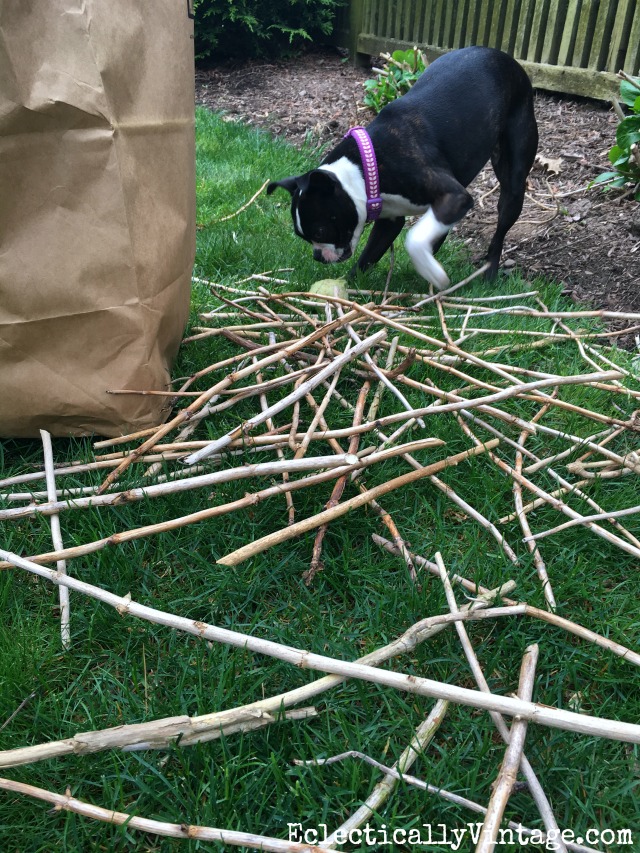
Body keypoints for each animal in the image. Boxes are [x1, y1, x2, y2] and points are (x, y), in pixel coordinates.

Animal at [268, 46, 536, 290]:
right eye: (302, 236)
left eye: (321, 232)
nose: (317, 256)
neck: (367, 167)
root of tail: (507, 59)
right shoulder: (390, 221)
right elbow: (368, 257)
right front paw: (346, 287)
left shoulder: (453, 195)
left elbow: (414, 239)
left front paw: (432, 273)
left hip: (513, 182)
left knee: (501, 227)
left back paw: (488, 273)